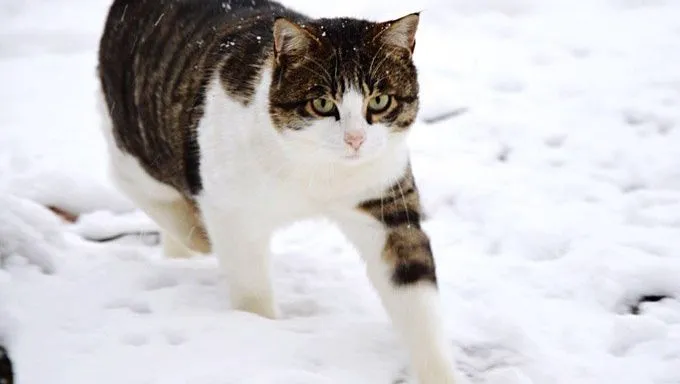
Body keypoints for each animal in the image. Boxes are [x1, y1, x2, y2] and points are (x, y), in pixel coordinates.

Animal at [98, 0, 460, 380]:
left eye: (379, 101)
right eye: (322, 104)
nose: (355, 139)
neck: (319, 172)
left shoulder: (385, 200)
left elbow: (414, 288)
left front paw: (439, 374)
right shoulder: (232, 210)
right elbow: (250, 287)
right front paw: (259, 330)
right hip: (137, 136)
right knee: (132, 180)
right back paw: (196, 233)